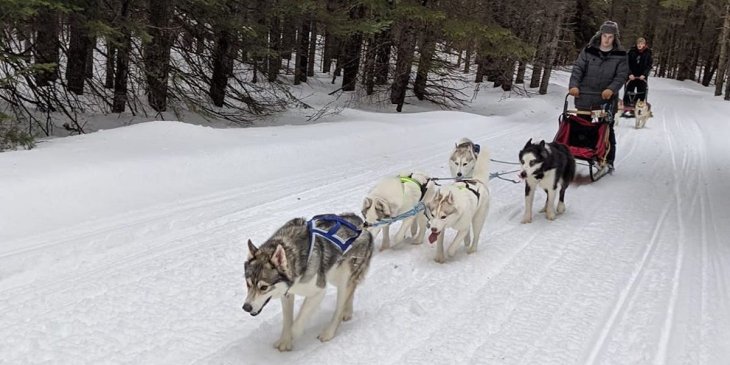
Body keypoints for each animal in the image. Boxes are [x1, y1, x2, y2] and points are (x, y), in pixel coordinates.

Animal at [243, 213, 372, 350]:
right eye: (248, 284)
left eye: (264, 287)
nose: (246, 307)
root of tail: (360, 223)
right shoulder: (287, 294)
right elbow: (287, 320)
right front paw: (285, 340)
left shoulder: (318, 291)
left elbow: (299, 319)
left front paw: (293, 334)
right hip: (335, 275)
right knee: (351, 289)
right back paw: (347, 312)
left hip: (343, 277)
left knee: (339, 308)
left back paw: (329, 332)